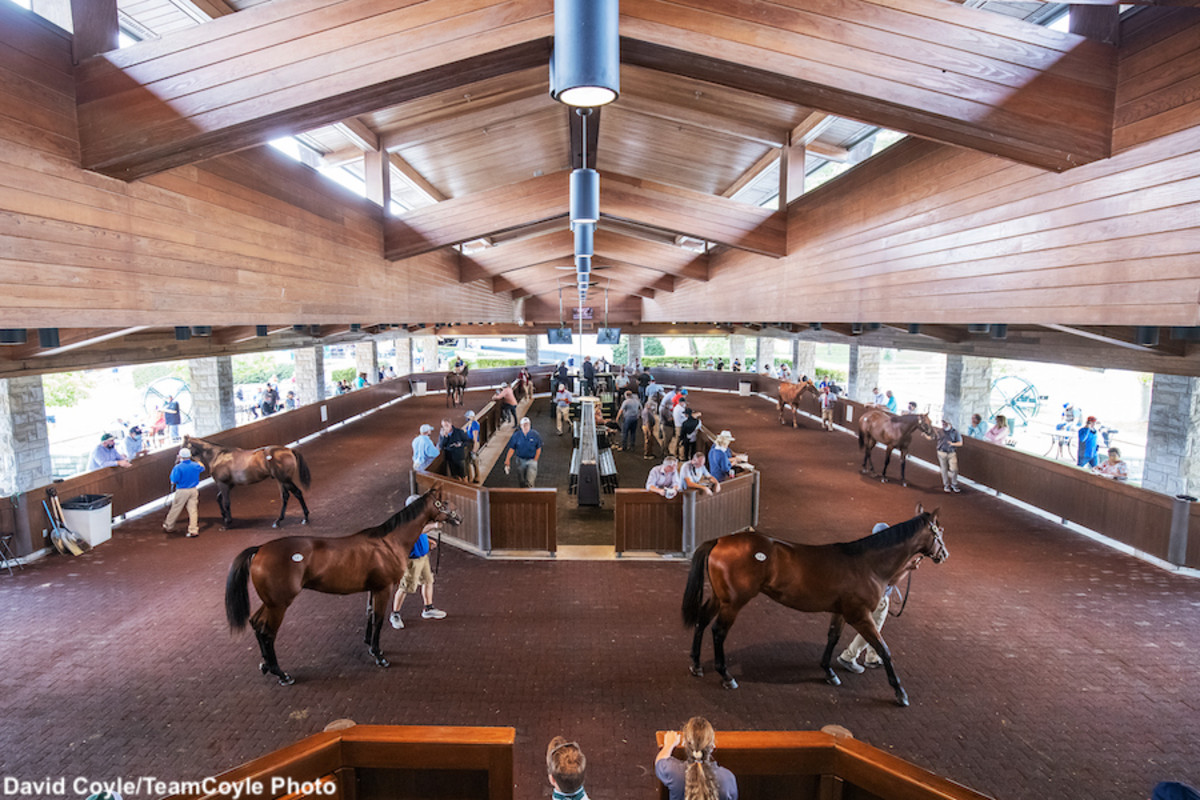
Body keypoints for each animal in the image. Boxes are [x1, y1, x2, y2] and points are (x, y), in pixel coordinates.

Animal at [182, 434, 312, 527]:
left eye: (183, 447)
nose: (179, 461)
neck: (218, 456)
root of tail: (289, 450)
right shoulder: (230, 484)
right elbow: (218, 498)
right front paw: (224, 516)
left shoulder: (223, 484)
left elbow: (226, 502)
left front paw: (228, 523)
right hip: (281, 481)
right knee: (285, 497)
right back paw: (278, 521)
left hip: (285, 480)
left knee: (297, 493)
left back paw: (305, 518)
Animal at [225, 484, 463, 686]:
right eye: (445, 502)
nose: (459, 518)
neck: (387, 542)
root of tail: (260, 549)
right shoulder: (384, 588)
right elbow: (378, 620)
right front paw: (379, 656)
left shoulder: (373, 589)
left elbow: (369, 615)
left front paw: (370, 647)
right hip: (279, 605)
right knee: (267, 633)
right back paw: (282, 674)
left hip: (271, 602)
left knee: (256, 623)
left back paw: (265, 665)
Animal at [686, 506, 945, 705]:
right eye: (939, 532)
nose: (944, 554)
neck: (868, 564)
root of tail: (720, 540)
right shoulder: (860, 616)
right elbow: (884, 649)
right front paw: (900, 692)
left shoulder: (840, 613)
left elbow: (832, 637)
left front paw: (829, 671)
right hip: (733, 603)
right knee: (718, 631)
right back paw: (726, 676)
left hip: (720, 598)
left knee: (702, 620)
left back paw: (696, 665)